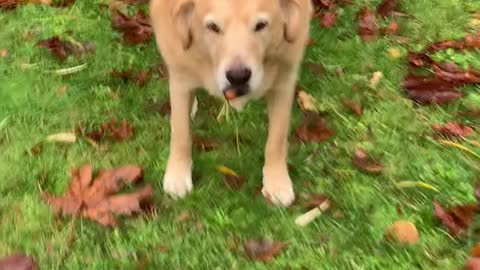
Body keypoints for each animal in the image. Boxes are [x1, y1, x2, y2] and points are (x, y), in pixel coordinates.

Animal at [151, 0, 316, 207]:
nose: (238, 77)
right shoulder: (180, 74)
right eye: (213, 27)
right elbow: (180, 132)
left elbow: (276, 140)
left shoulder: (283, 81)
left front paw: (277, 182)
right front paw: (178, 175)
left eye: (260, 25)